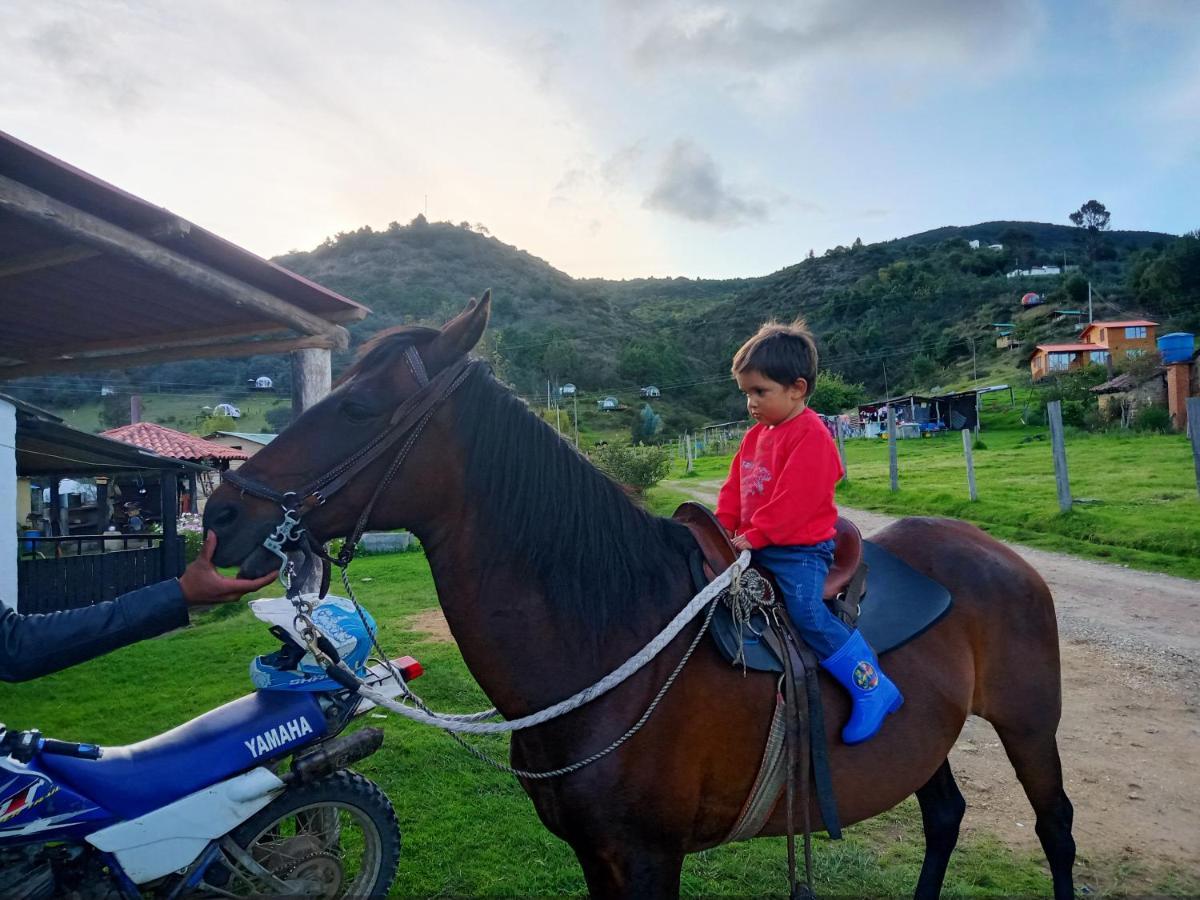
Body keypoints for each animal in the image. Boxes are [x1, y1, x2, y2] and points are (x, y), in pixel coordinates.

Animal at [201, 294, 1075, 897]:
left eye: (356, 407)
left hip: (1029, 725)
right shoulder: (598, 856)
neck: (609, 643)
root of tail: (999, 555)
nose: (220, 514)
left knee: (1056, 828)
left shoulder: (650, 858)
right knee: (945, 817)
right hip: (930, 738)